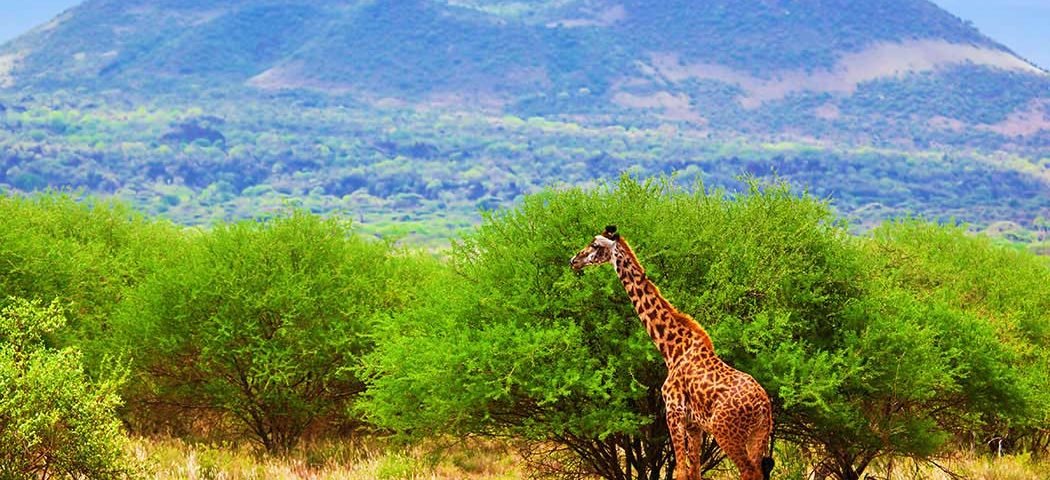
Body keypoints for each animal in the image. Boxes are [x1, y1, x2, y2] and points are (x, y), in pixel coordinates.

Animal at [570, 225, 775, 480]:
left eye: (596, 244)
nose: (574, 260)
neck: (672, 349)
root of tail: (764, 408)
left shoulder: (673, 412)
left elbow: (681, 472)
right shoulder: (694, 425)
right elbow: (694, 472)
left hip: (727, 433)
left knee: (748, 472)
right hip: (758, 436)